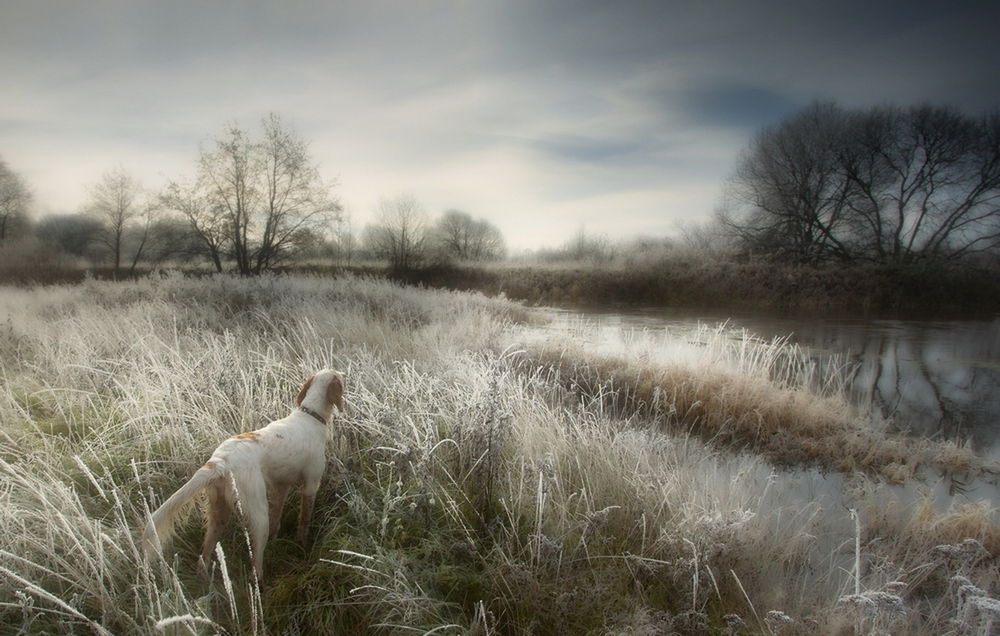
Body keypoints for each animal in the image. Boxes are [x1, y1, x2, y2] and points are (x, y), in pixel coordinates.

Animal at [141, 368, 344, 580]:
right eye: (340, 376)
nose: (345, 374)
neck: (311, 415)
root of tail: (220, 462)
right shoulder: (311, 485)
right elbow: (304, 521)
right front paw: (302, 546)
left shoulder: (281, 487)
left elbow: (277, 519)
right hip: (257, 514)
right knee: (256, 563)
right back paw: (260, 581)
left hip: (219, 512)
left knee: (204, 555)